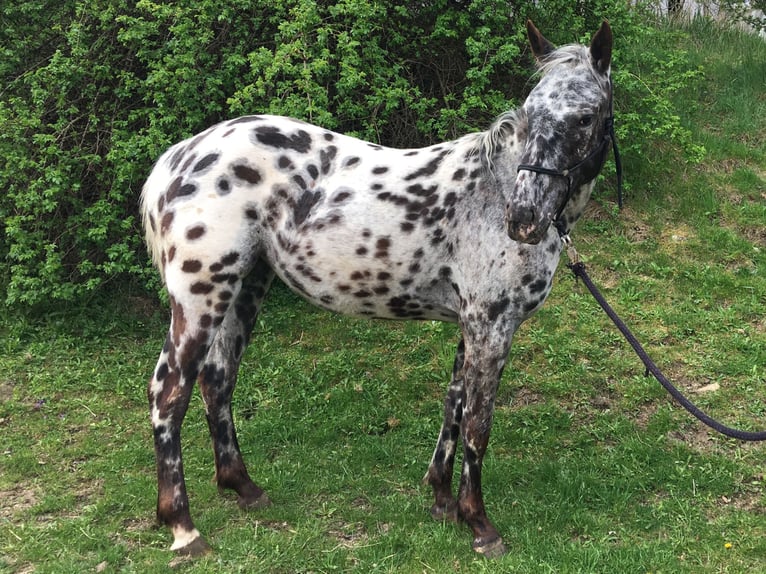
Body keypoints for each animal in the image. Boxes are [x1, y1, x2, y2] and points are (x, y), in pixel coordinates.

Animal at [140, 20, 615, 558]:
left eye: (584, 118)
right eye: (532, 113)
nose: (524, 219)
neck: (492, 192)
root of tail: (178, 158)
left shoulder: (471, 325)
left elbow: (454, 405)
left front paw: (442, 500)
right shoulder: (491, 326)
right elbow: (478, 424)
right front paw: (479, 523)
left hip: (243, 290)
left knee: (217, 382)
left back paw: (243, 486)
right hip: (201, 297)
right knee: (168, 393)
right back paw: (183, 526)